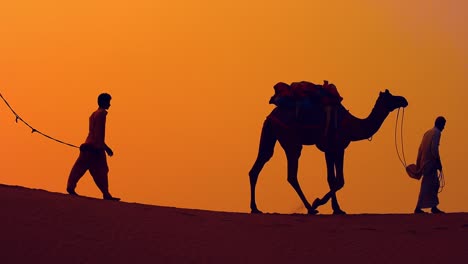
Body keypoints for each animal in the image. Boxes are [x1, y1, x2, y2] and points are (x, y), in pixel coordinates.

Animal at [249, 88, 406, 214]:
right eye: (391, 97)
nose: (404, 100)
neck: (352, 125)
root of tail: (271, 116)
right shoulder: (333, 148)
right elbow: (337, 180)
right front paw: (319, 202)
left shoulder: (335, 149)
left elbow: (334, 179)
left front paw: (337, 209)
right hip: (291, 141)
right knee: (291, 175)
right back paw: (310, 208)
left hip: (271, 134)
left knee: (260, 163)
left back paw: (255, 208)